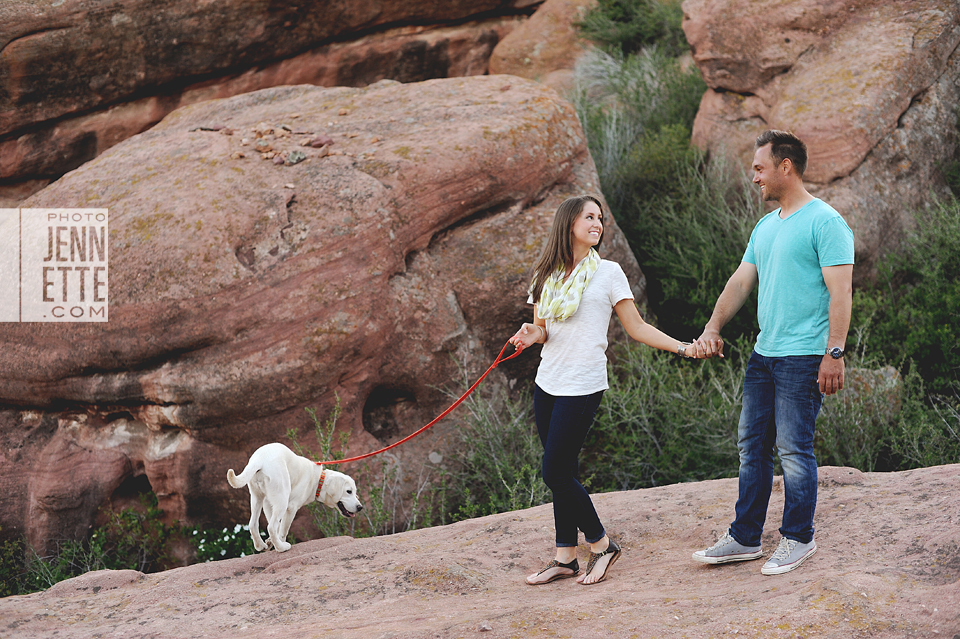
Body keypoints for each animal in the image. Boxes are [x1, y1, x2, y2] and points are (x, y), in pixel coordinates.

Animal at [226, 442, 364, 552]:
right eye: (348, 491)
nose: (360, 507)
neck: (318, 479)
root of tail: (259, 460)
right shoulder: (291, 507)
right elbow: (282, 529)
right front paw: (279, 542)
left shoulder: (268, 502)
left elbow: (276, 525)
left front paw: (270, 542)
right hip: (282, 498)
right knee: (271, 526)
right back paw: (282, 548)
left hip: (257, 497)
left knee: (253, 524)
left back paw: (260, 546)